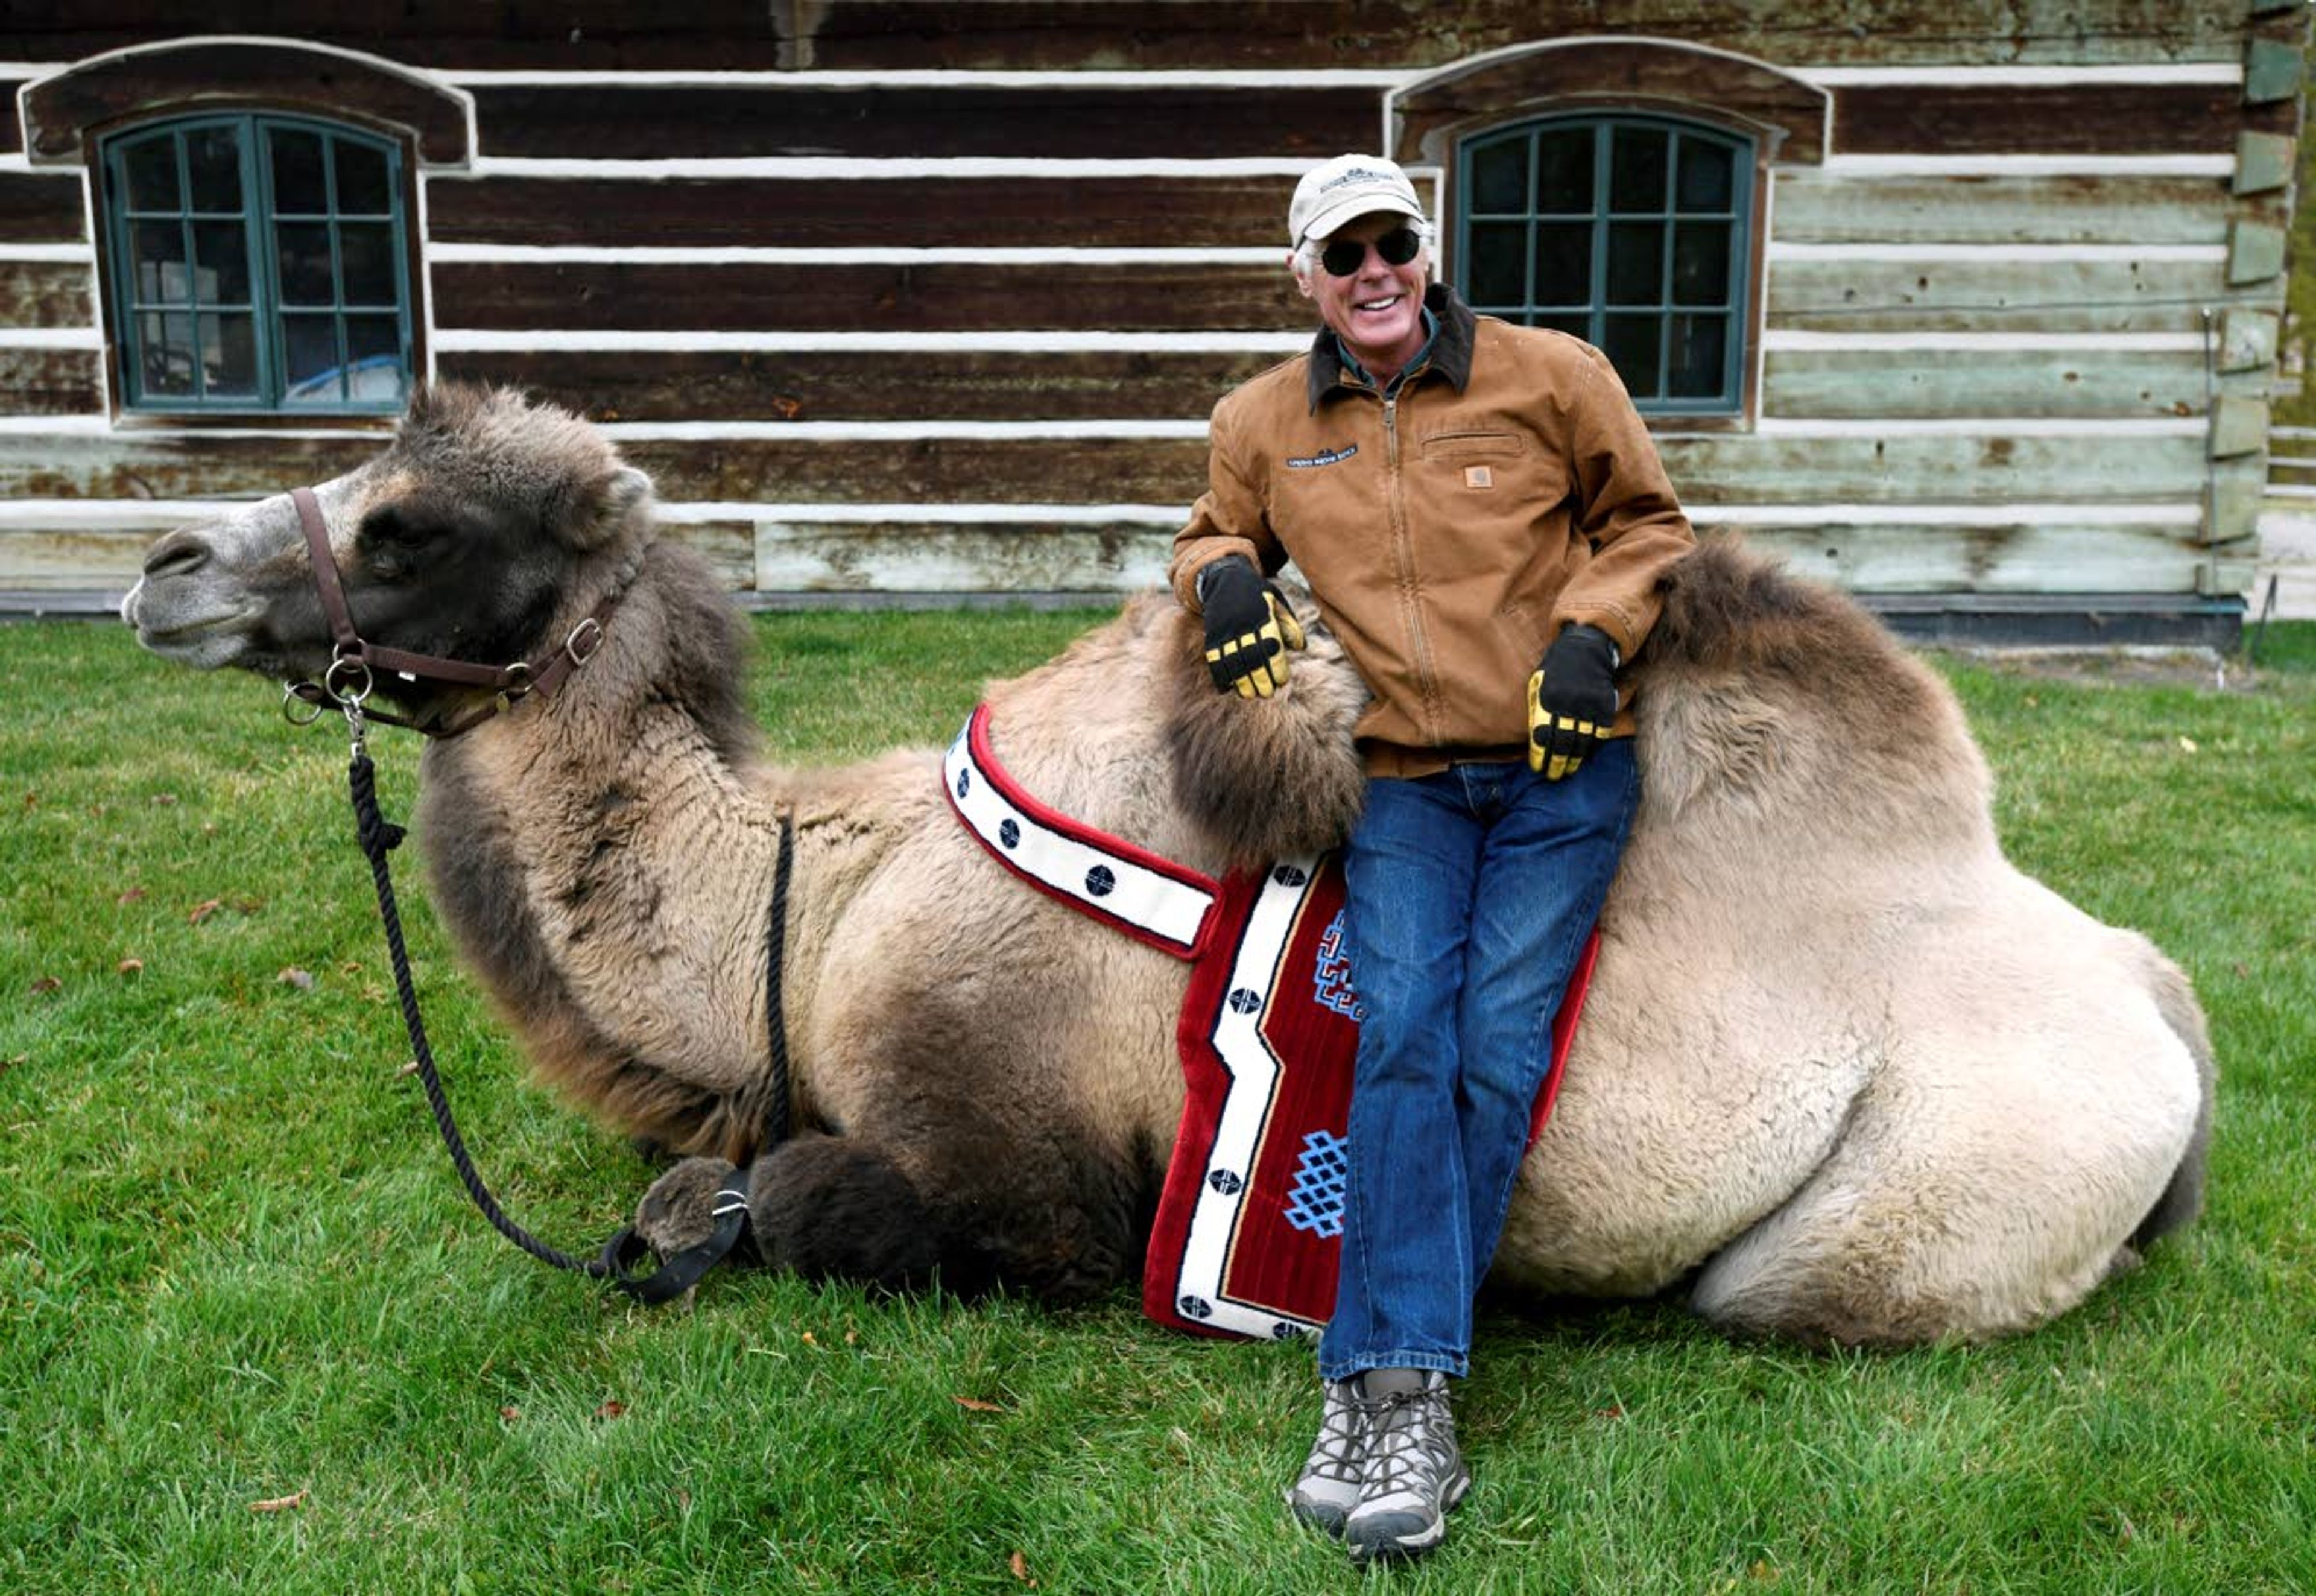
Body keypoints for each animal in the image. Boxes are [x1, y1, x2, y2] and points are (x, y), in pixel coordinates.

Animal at [122, 387, 2204, 1343]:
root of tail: (2158, 998)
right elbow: (683, 1195)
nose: (162, 570)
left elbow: (809, 1202)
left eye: (408, 524)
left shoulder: (1032, 1172)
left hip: (1913, 1205)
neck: (804, 910)